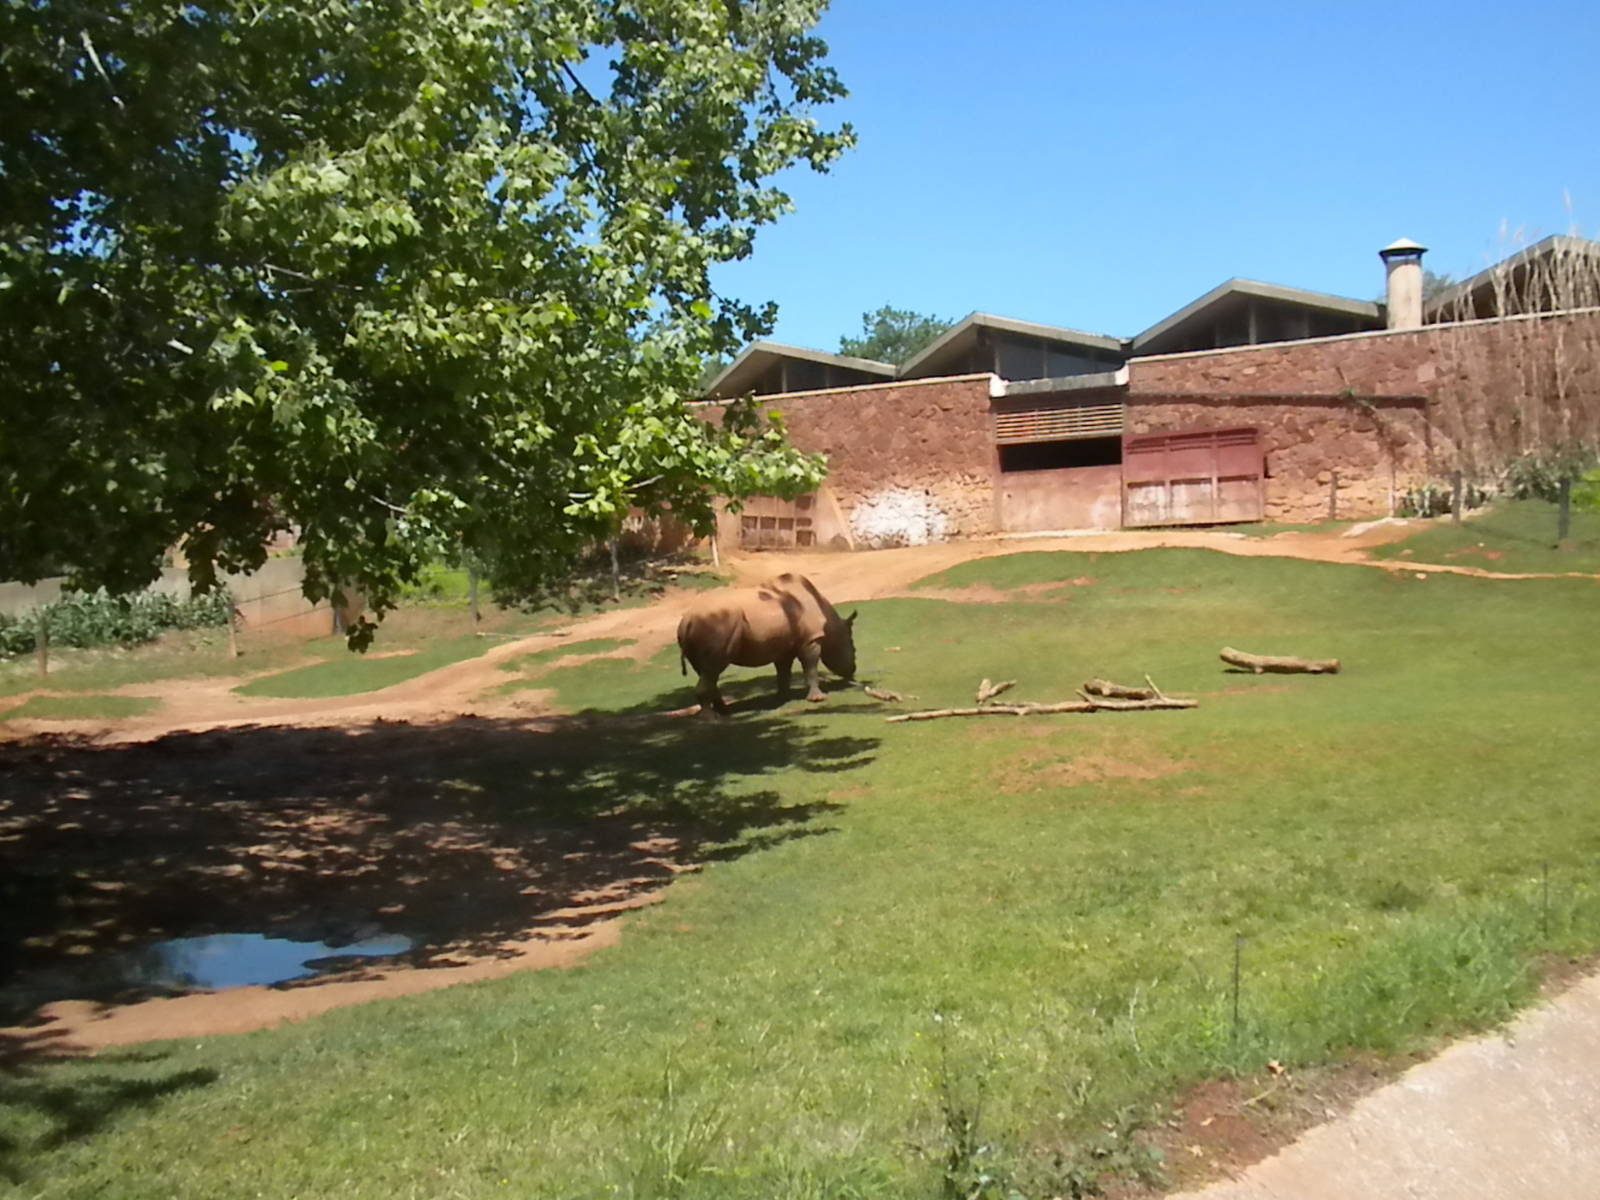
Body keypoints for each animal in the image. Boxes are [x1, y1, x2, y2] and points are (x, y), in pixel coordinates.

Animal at [677, 573, 857, 715]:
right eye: (853, 649)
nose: (852, 671)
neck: (832, 626)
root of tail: (686, 620)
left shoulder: (785, 647)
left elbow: (783, 672)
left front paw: (783, 697)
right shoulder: (811, 639)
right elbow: (810, 667)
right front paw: (818, 699)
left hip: (707, 627)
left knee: (707, 671)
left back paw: (724, 712)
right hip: (718, 625)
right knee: (713, 668)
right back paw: (711, 719)